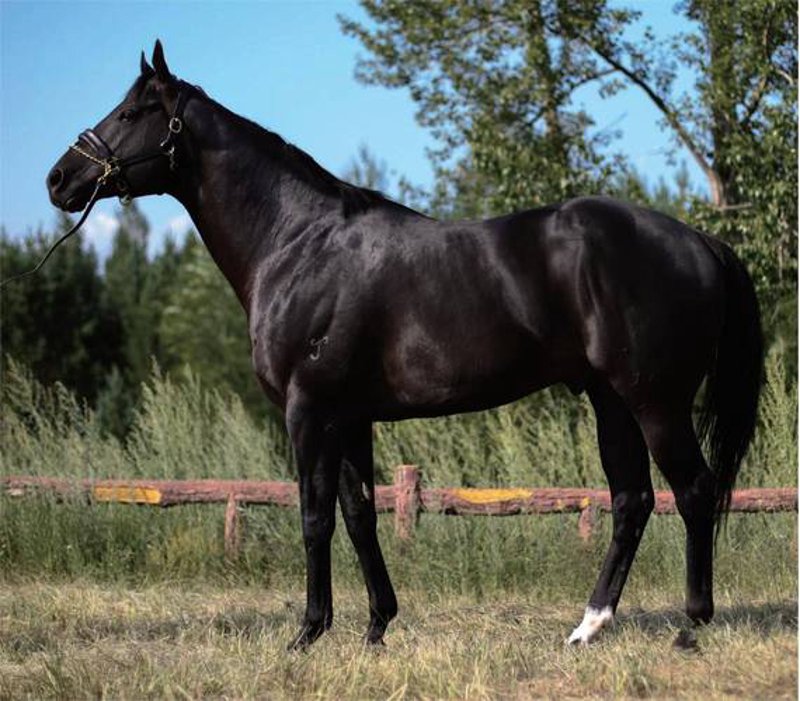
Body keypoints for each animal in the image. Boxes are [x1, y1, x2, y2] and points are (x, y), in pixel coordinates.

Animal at [47, 41, 762, 650]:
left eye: (133, 112)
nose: (60, 179)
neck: (297, 242)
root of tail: (699, 241)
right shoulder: (350, 416)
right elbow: (361, 514)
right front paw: (375, 629)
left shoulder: (309, 411)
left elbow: (314, 517)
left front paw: (307, 634)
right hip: (609, 400)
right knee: (631, 501)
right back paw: (588, 627)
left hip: (656, 401)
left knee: (693, 491)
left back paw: (692, 625)